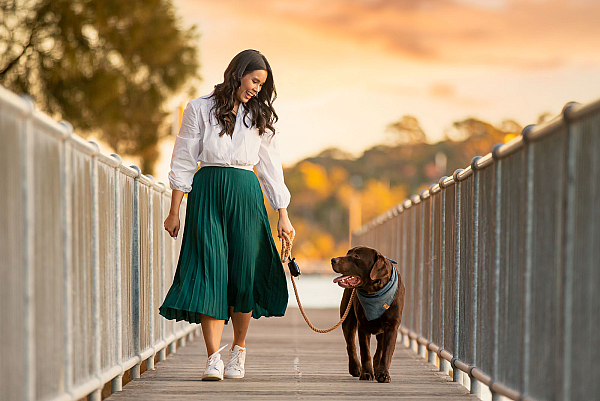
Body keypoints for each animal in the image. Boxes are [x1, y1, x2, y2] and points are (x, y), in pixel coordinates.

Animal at [330, 244, 406, 382]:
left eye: (356, 256)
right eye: (348, 253)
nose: (333, 260)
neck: (375, 292)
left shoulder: (392, 326)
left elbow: (386, 351)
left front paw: (383, 374)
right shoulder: (363, 326)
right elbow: (365, 352)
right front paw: (366, 373)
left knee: (380, 347)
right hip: (347, 319)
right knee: (350, 344)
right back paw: (355, 368)